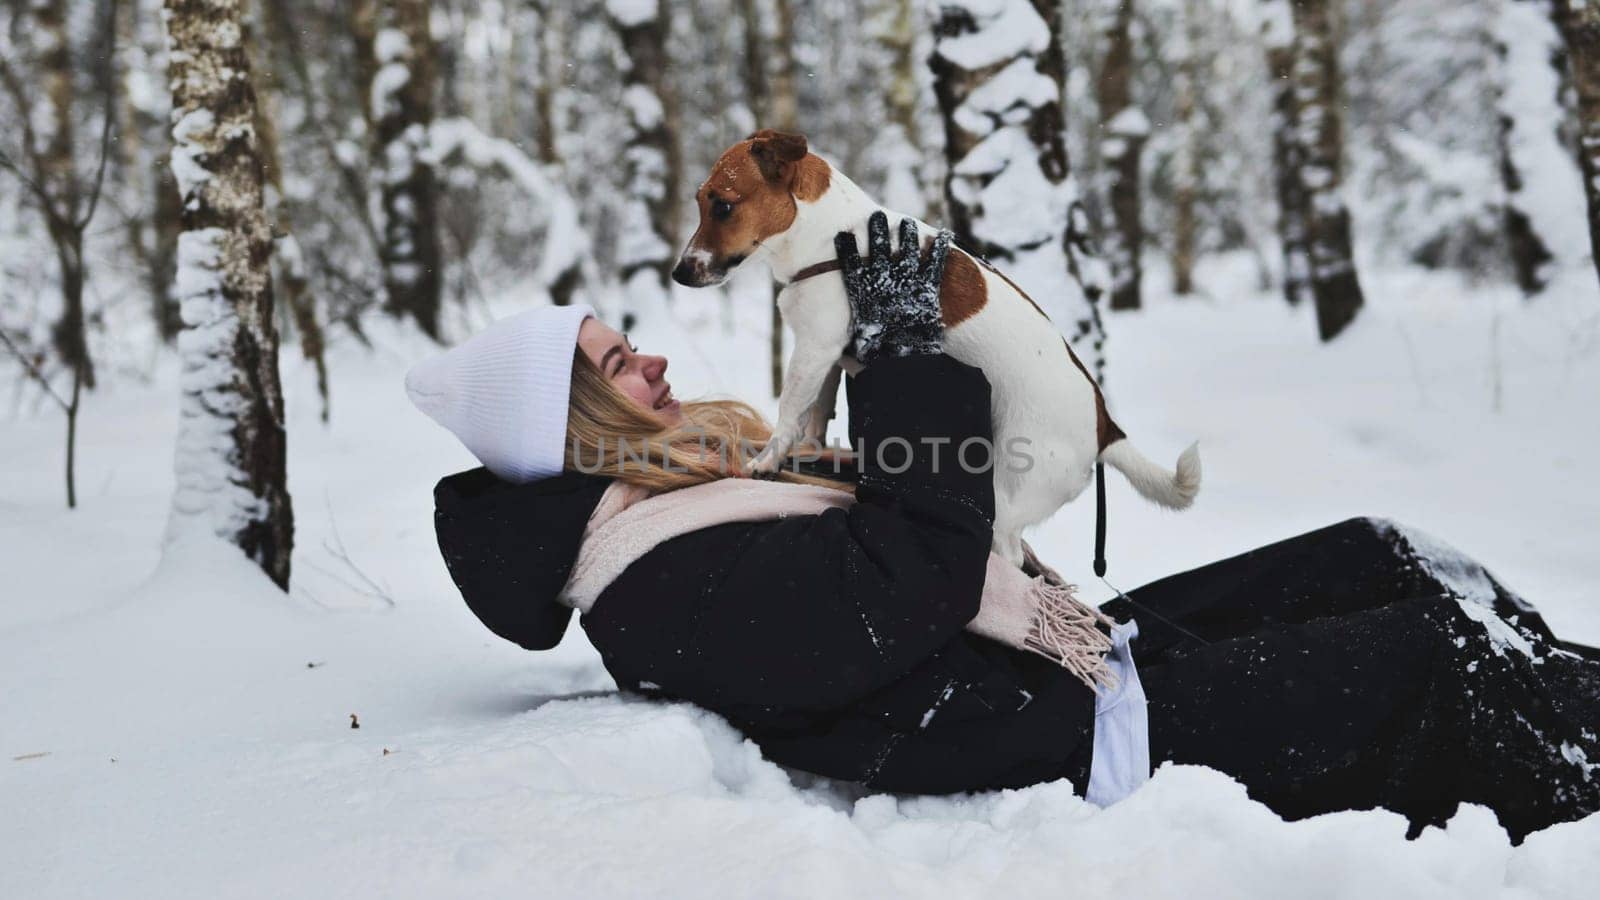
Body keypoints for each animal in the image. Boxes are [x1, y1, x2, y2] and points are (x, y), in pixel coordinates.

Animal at [665, 129, 1203, 563]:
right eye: (699, 201)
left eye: (723, 205)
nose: (679, 273)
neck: (835, 242)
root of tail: (1104, 424)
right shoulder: (827, 357)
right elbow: (815, 414)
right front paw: (811, 451)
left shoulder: (814, 349)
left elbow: (789, 413)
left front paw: (769, 460)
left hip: (1010, 494)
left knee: (1009, 553)